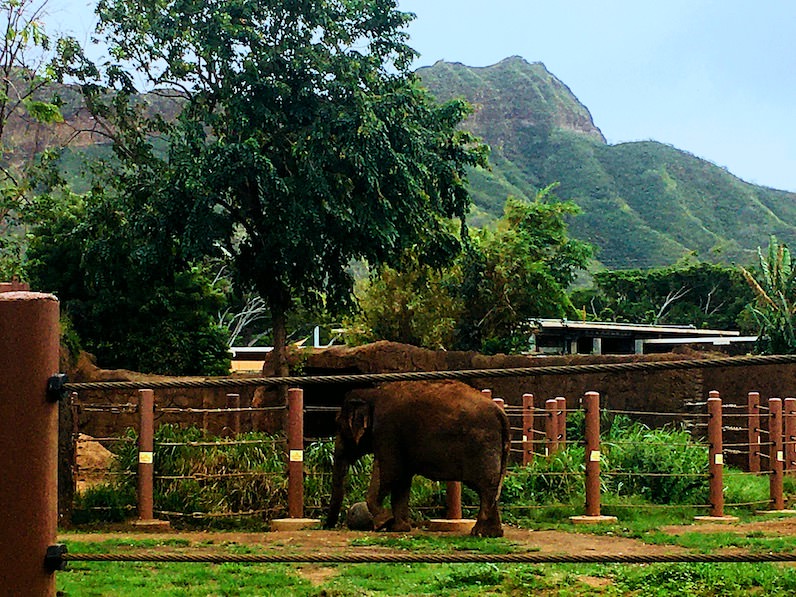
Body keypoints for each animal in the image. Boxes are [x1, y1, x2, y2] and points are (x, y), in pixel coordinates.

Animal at [324, 380, 510, 536]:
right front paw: (398, 528)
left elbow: (391, 473)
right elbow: (402, 480)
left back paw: (480, 533)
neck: (372, 394)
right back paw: (491, 533)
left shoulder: (387, 430)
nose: (327, 526)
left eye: (339, 425)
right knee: (491, 488)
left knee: (485, 486)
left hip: (481, 443)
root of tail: (500, 413)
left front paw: (384, 522)